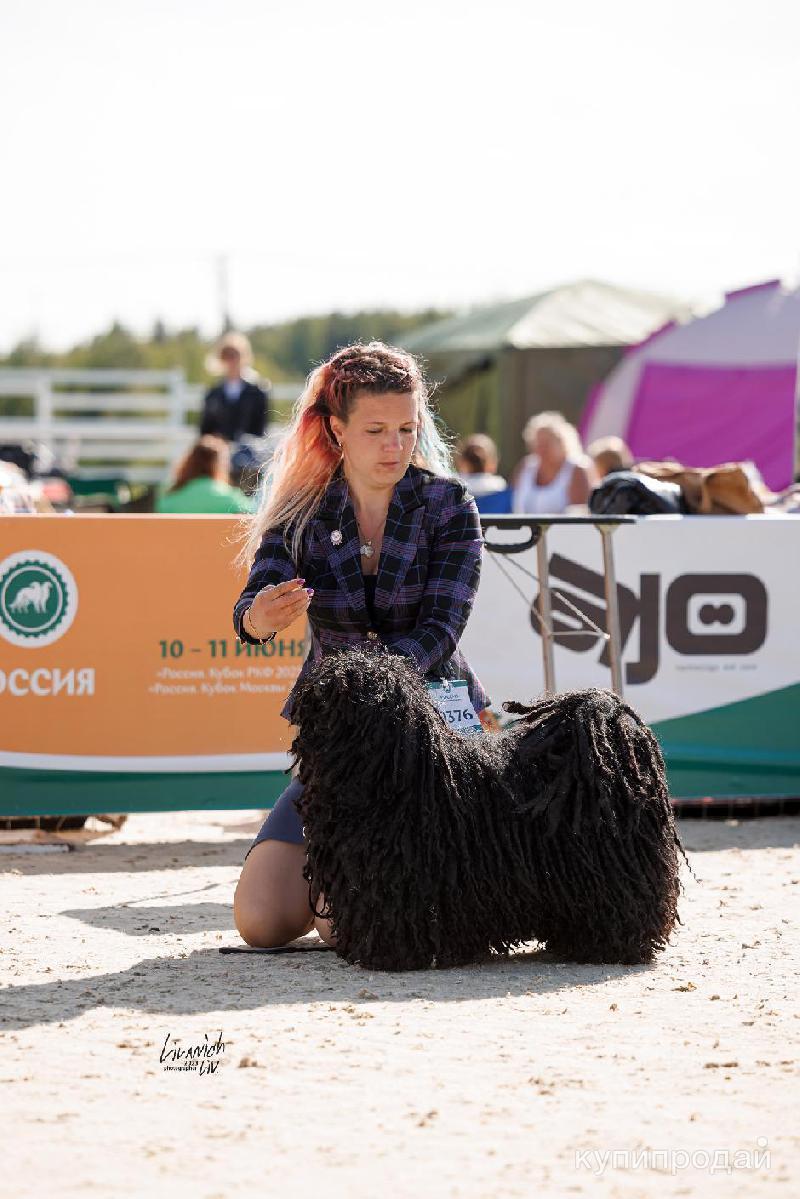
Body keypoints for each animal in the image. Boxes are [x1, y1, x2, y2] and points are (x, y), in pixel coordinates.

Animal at [291, 652, 686, 968]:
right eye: (333, 668)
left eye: (357, 682)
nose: (320, 685)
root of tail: (611, 725)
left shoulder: (402, 879)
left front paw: (393, 956)